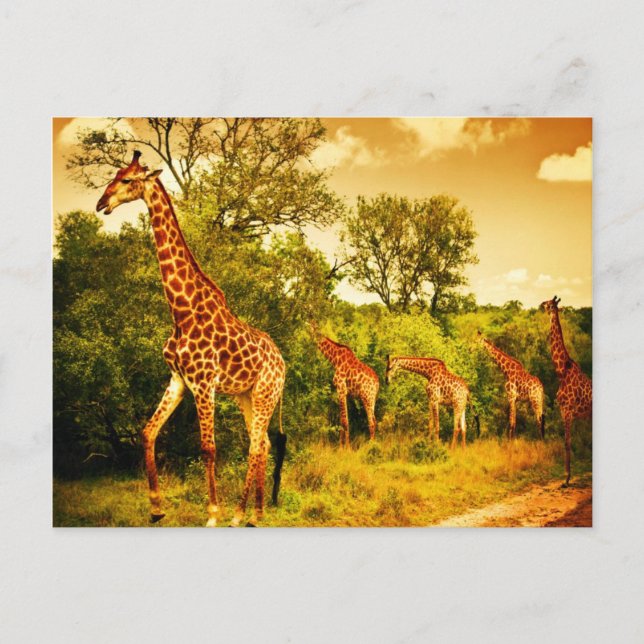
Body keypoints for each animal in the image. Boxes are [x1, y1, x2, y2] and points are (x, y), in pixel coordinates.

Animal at [96, 151, 287, 527]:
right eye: (115, 174)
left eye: (127, 180)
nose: (101, 203)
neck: (182, 311)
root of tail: (284, 362)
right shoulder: (178, 380)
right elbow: (147, 432)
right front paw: (156, 507)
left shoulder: (203, 383)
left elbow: (208, 448)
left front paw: (212, 513)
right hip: (246, 395)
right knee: (263, 444)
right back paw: (256, 513)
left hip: (265, 394)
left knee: (255, 445)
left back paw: (238, 515)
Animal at [540, 296, 592, 486]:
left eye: (548, 303)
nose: (540, 304)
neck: (562, 370)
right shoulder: (567, 412)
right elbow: (568, 442)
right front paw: (567, 477)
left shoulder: (567, 411)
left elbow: (567, 443)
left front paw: (566, 479)